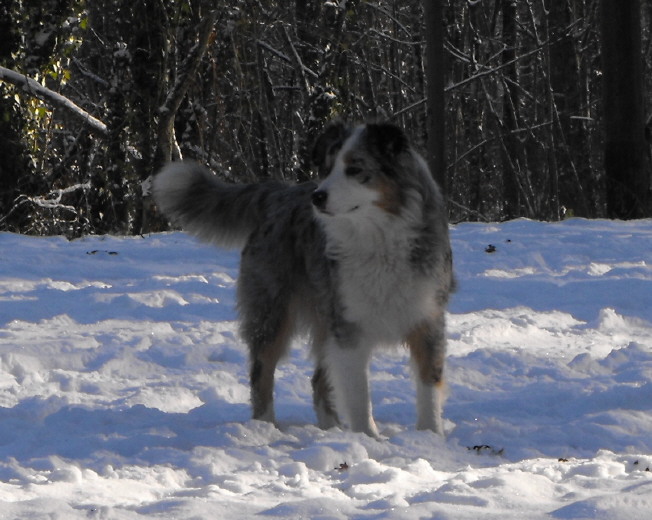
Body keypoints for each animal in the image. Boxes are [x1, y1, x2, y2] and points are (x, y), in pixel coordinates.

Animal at [154, 124, 454, 436]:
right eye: (328, 168)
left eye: (355, 169)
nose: (317, 197)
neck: (379, 239)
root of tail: (279, 192)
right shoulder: (348, 327)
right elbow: (358, 395)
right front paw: (368, 438)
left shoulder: (428, 319)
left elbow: (429, 387)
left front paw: (431, 437)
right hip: (273, 312)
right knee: (261, 372)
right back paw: (265, 426)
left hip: (322, 317)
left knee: (318, 380)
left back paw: (331, 429)